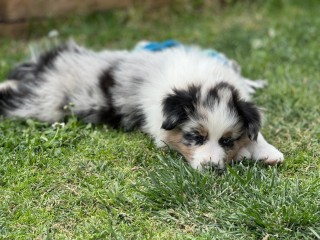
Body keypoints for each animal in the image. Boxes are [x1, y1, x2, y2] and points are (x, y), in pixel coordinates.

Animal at [0, 42, 284, 171]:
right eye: (195, 137)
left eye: (227, 141)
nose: (212, 168)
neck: (199, 79)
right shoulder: (158, 127)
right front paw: (247, 153)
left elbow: (256, 134)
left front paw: (266, 151)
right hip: (45, 102)